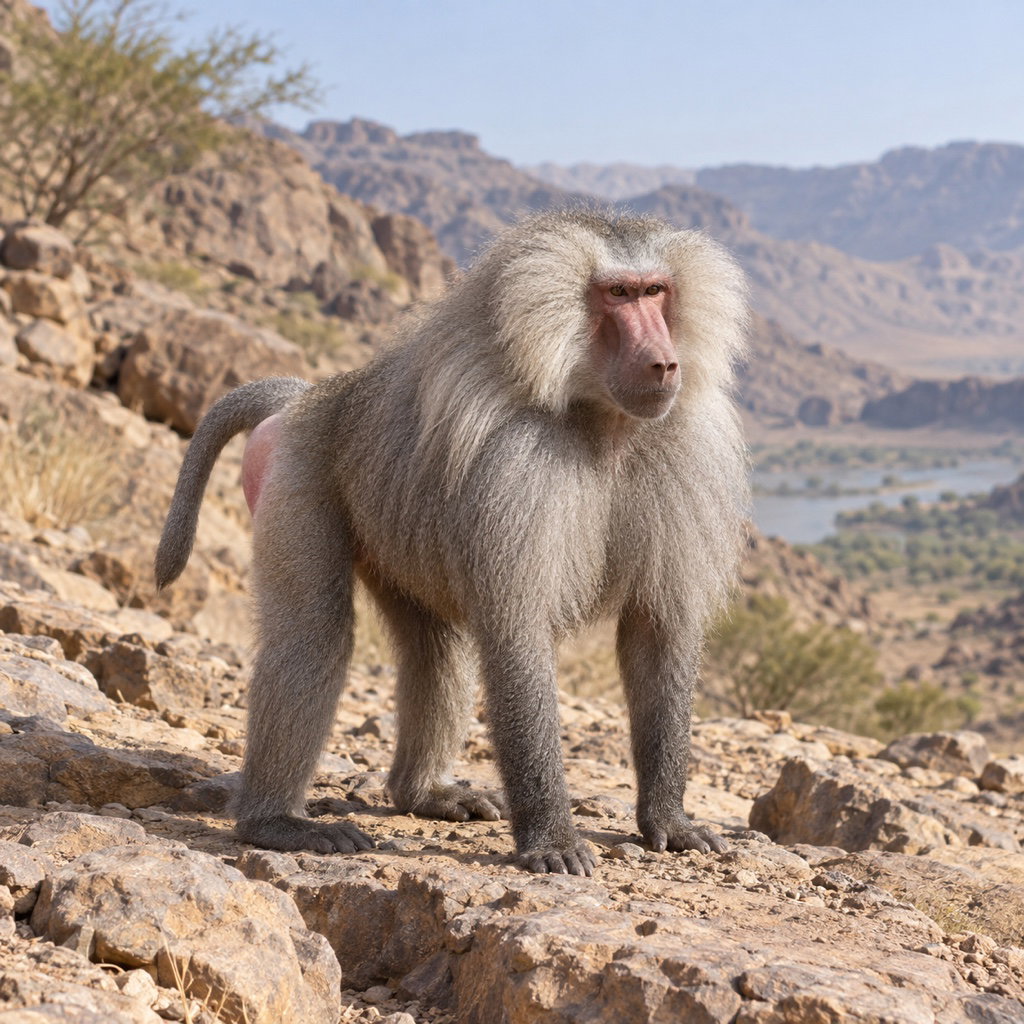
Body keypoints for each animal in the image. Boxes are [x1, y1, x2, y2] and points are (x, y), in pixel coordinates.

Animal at [156, 210, 750, 876]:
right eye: (618, 294)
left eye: (656, 291)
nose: (664, 365)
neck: (602, 420)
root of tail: (314, 397)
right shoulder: (514, 465)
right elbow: (517, 632)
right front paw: (551, 839)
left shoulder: (685, 453)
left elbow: (656, 632)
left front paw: (669, 821)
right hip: (298, 475)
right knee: (314, 633)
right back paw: (274, 823)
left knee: (434, 648)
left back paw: (422, 794)